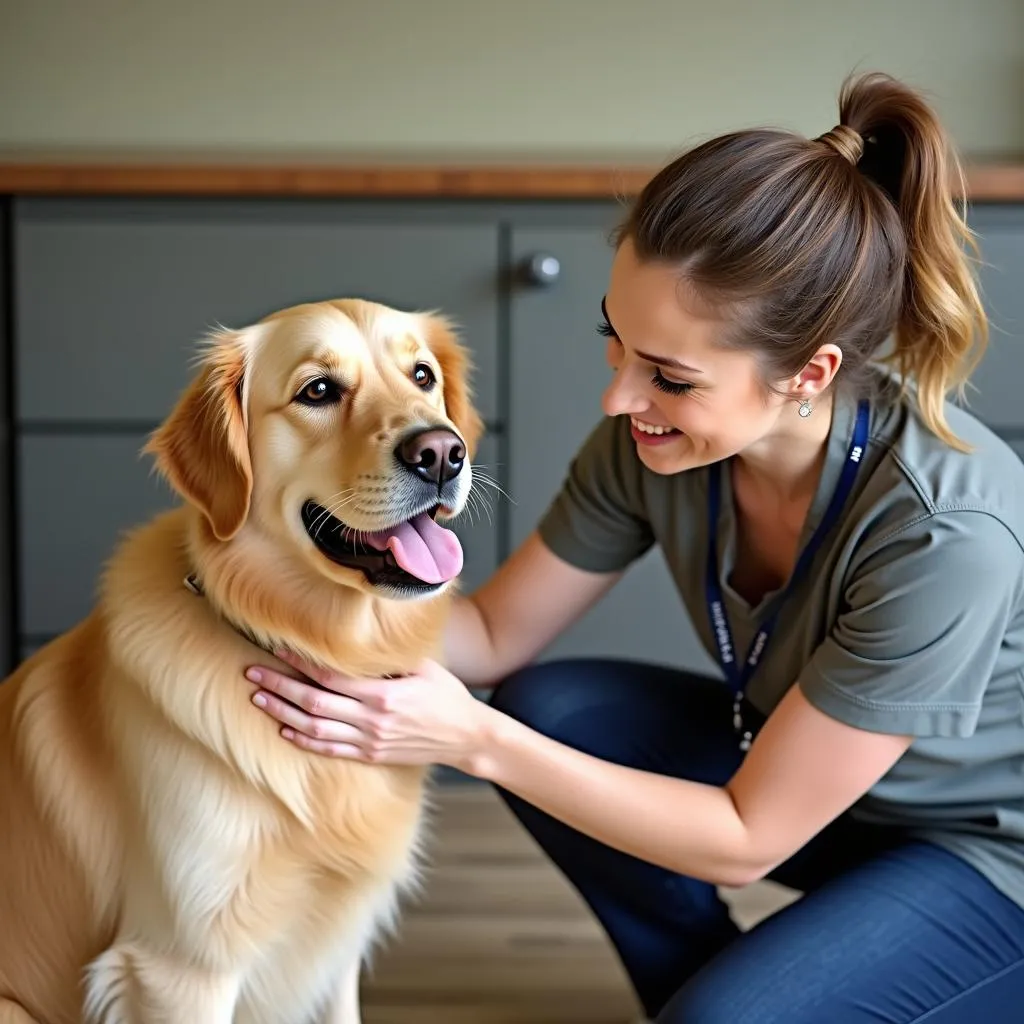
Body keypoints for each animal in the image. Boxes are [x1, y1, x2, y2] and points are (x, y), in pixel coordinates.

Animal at [0, 292, 483, 1019]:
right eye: (318, 391)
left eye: (422, 376)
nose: (442, 453)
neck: (298, 642)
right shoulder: (179, 967)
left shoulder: (336, 952)